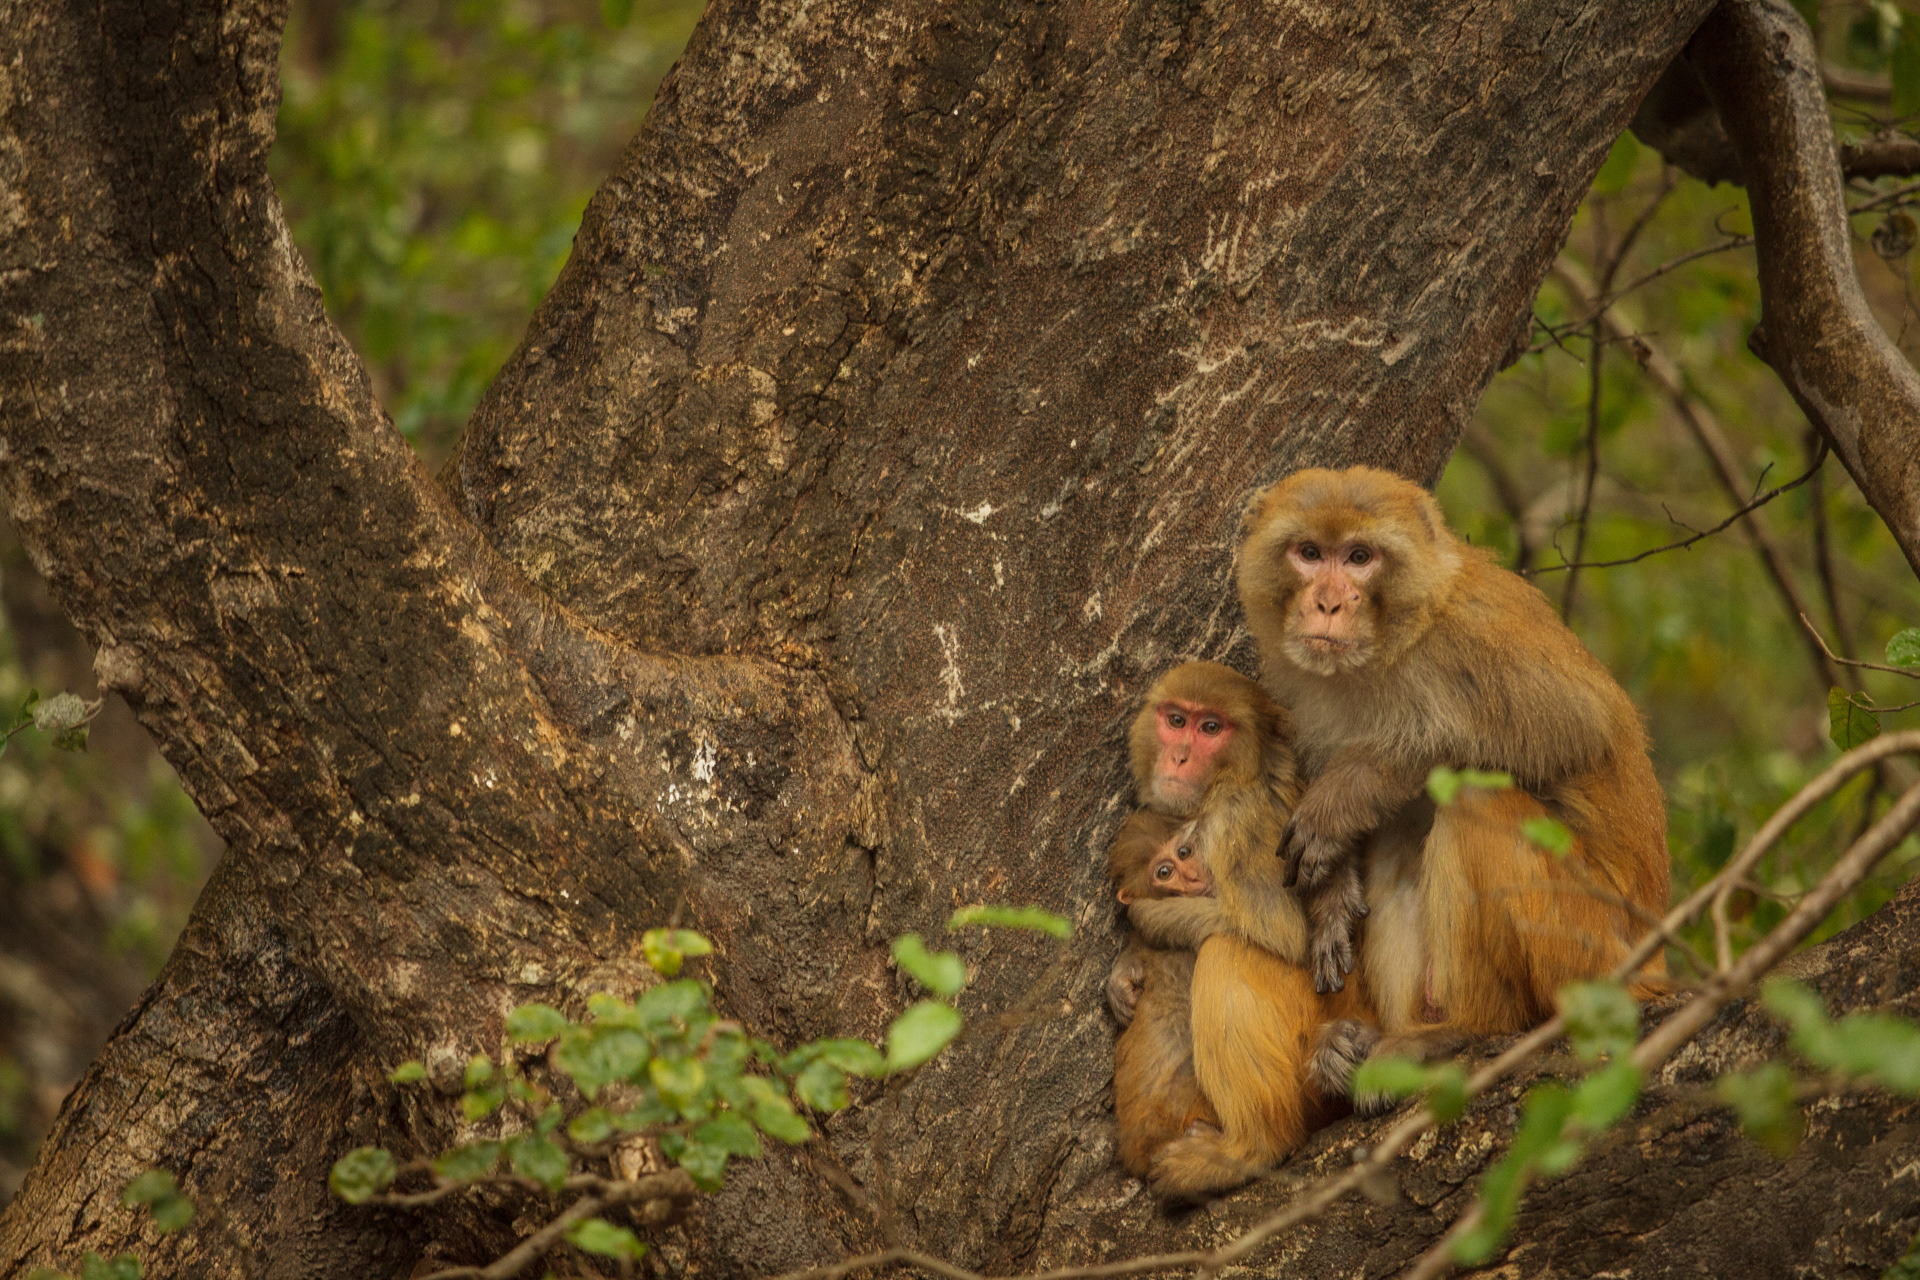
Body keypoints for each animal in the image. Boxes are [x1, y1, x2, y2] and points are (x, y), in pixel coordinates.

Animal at [1233, 466, 1670, 1101]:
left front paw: (1351, 792)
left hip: (1595, 953)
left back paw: (1461, 1032)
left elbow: (1570, 726)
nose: (1328, 602)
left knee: (1473, 798)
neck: (1391, 645)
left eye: (1360, 557)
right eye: (1309, 553)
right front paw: (1334, 891)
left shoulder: (1476, 633)